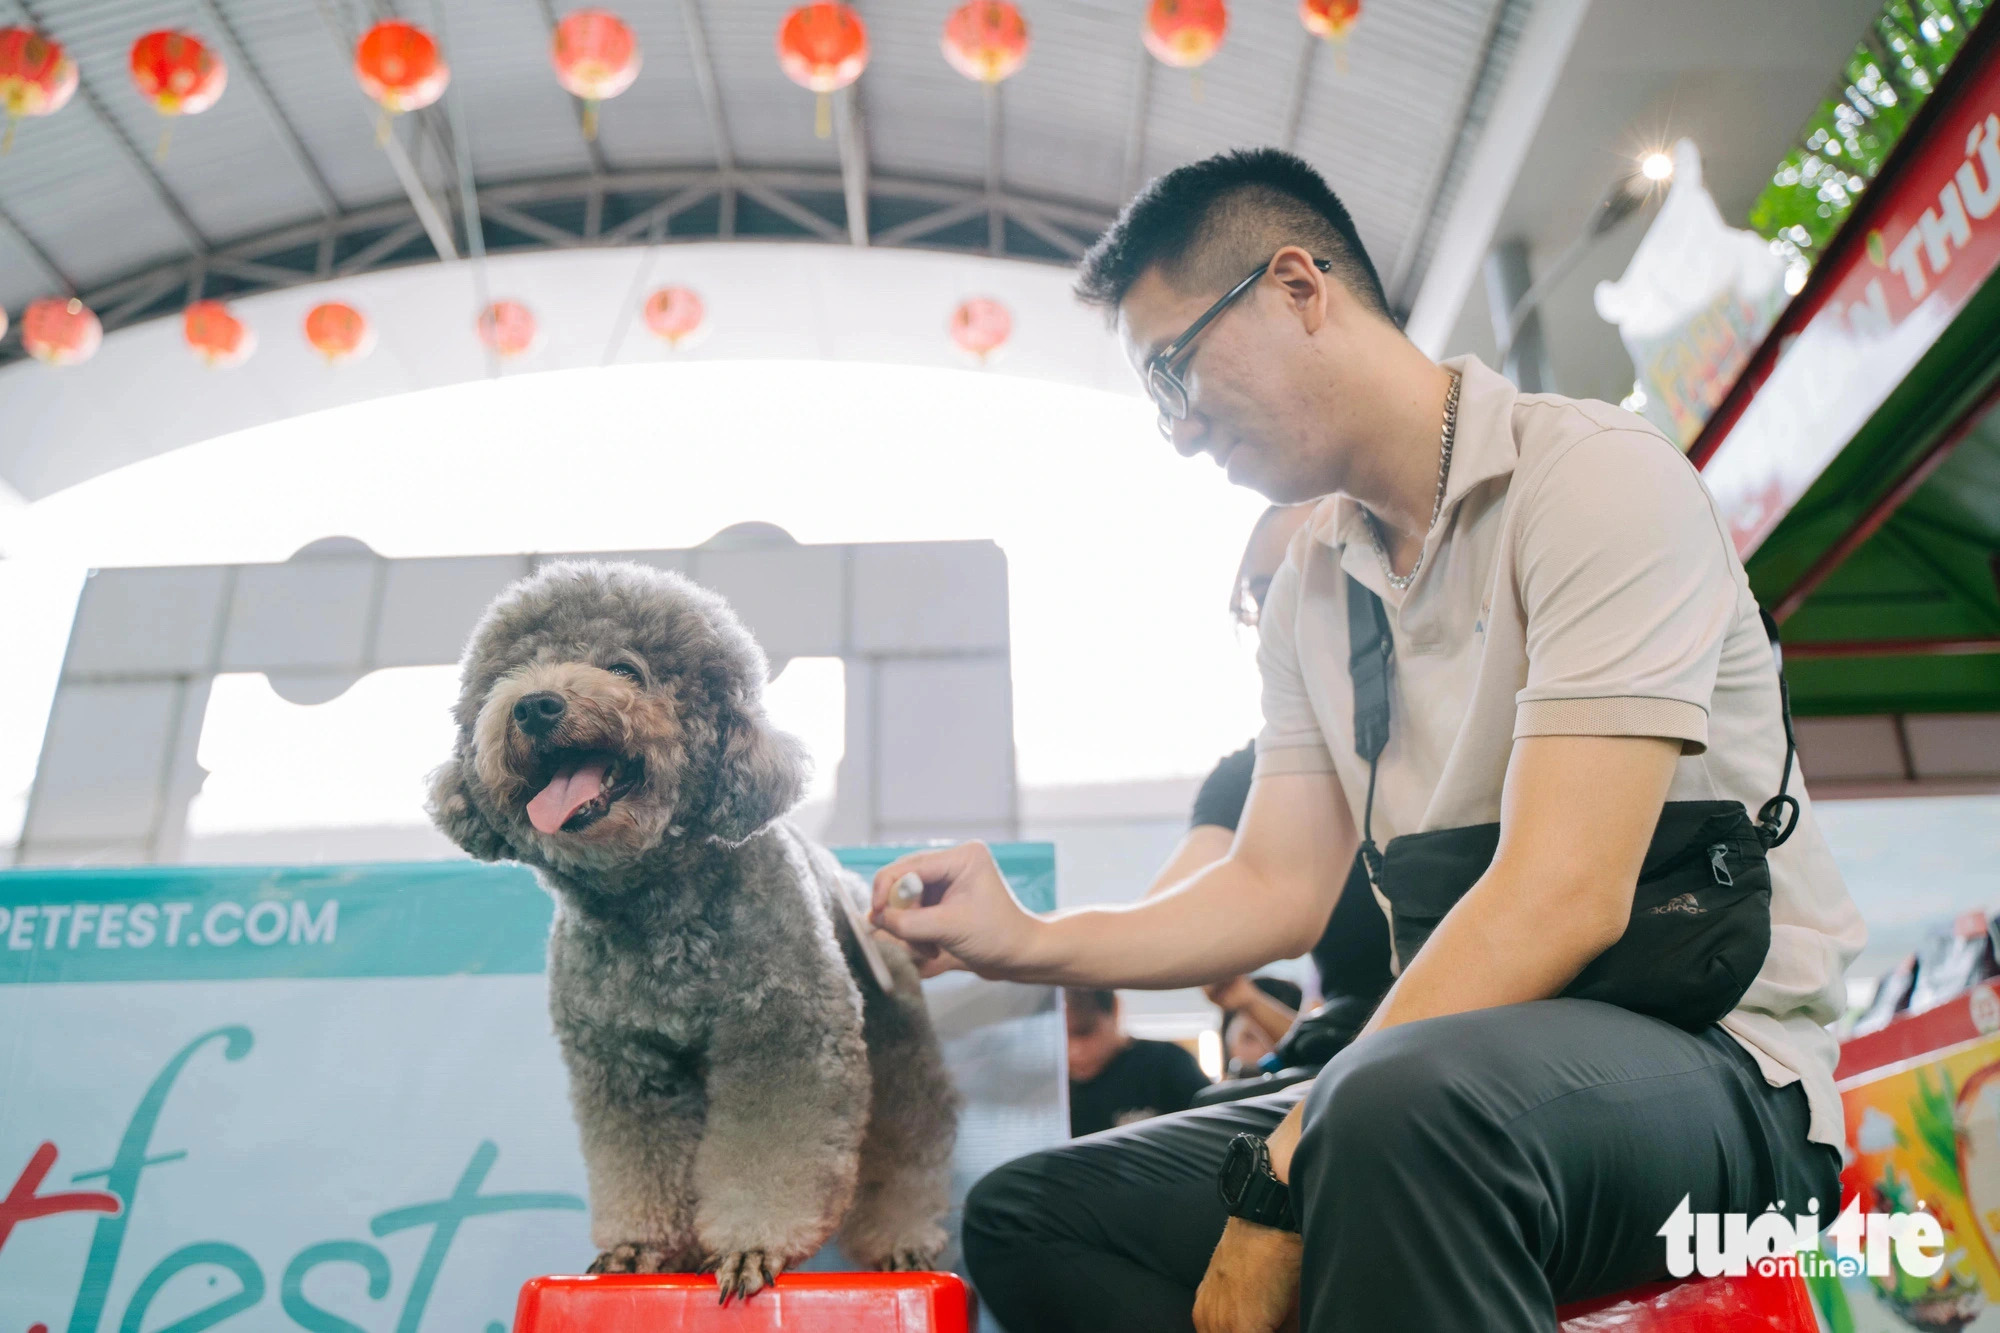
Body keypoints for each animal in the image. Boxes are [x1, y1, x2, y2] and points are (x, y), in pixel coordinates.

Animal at [426, 556, 956, 1288]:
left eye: (625, 668)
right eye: (514, 672)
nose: (535, 705)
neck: (654, 911)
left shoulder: (784, 1040)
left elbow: (773, 1153)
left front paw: (751, 1244)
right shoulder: (625, 1064)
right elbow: (640, 1162)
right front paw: (638, 1248)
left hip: (897, 1043)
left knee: (905, 1145)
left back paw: (902, 1240)